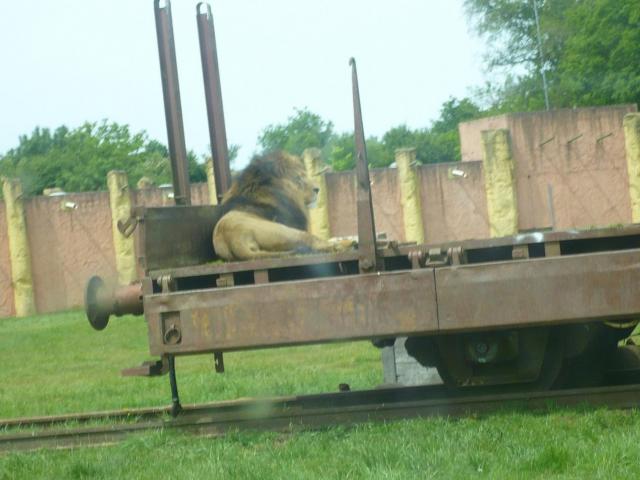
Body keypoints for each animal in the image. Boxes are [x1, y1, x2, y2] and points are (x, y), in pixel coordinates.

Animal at [214, 151, 356, 260]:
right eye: (299, 178)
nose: (317, 189)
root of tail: (233, 240)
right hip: (285, 231)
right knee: (313, 241)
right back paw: (347, 244)